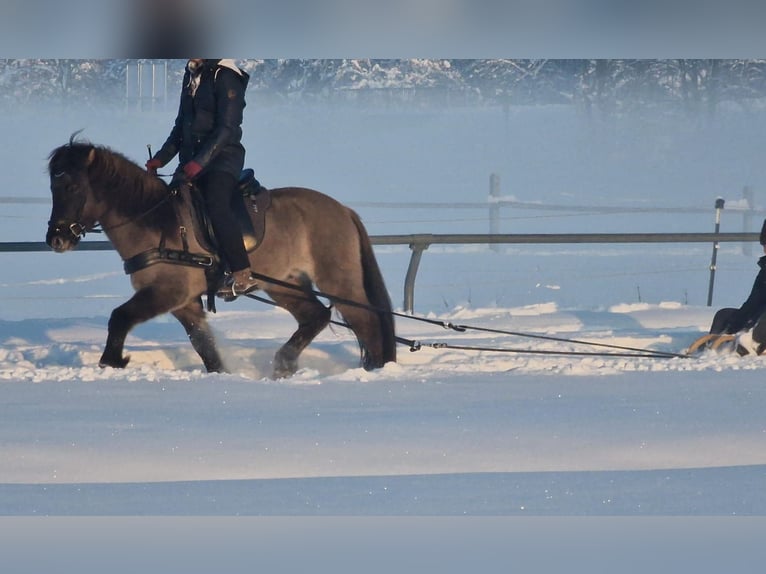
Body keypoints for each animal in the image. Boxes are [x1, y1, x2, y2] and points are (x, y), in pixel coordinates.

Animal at [45, 139, 400, 378]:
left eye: (72, 186)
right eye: (52, 187)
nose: (56, 239)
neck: (156, 221)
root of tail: (344, 211)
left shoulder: (168, 291)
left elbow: (119, 317)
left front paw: (113, 361)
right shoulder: (184, 302)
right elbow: (203, 345)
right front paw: (222, 376)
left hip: (338, 281)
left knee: (367, 322)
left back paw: (374, 372)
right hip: (284, 284)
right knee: (316, 317)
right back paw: (283, 365)